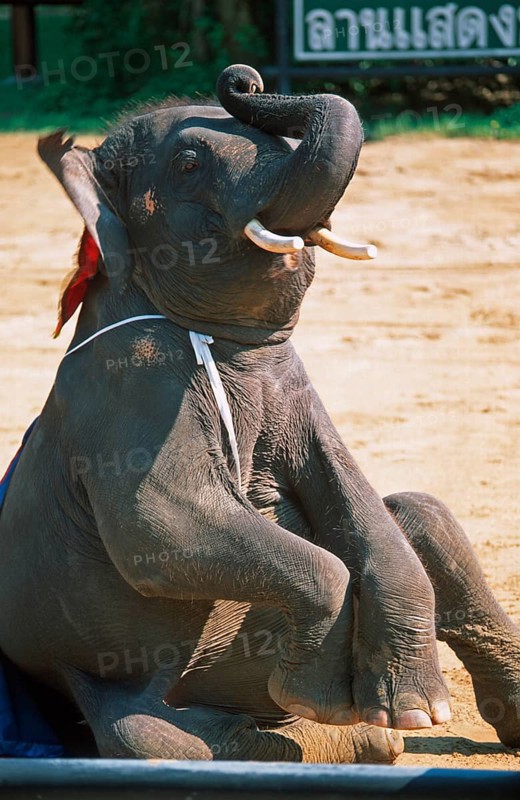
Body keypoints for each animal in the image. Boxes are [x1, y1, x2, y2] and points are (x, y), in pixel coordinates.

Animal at [0, 64, 519, 763]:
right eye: (189, 163)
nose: (243, 79)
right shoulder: (126, 386)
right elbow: (157, 527)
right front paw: (327, 700)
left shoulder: (292, 385)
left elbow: (352, 495)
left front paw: (415, 708)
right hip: (88, 674)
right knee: (153, 739)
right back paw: (321, 735)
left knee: (420, 512)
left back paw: (385, 731)